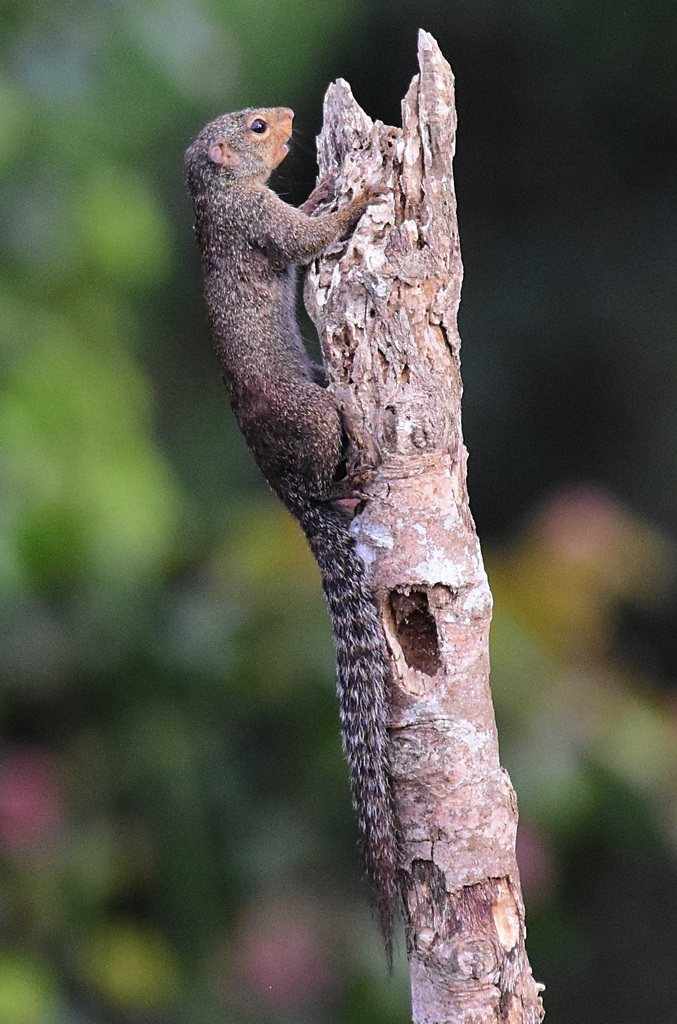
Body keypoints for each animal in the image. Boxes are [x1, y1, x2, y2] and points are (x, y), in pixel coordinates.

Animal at [184, 107, 399, 954]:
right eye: (253, 126)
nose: (285, 115)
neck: (217, 197)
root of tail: (287, 491)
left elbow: (305, 219)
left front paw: (326, 184)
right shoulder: (261, 228)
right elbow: (311, 239)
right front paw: (360, 192)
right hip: (317, 414)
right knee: (334, 456)